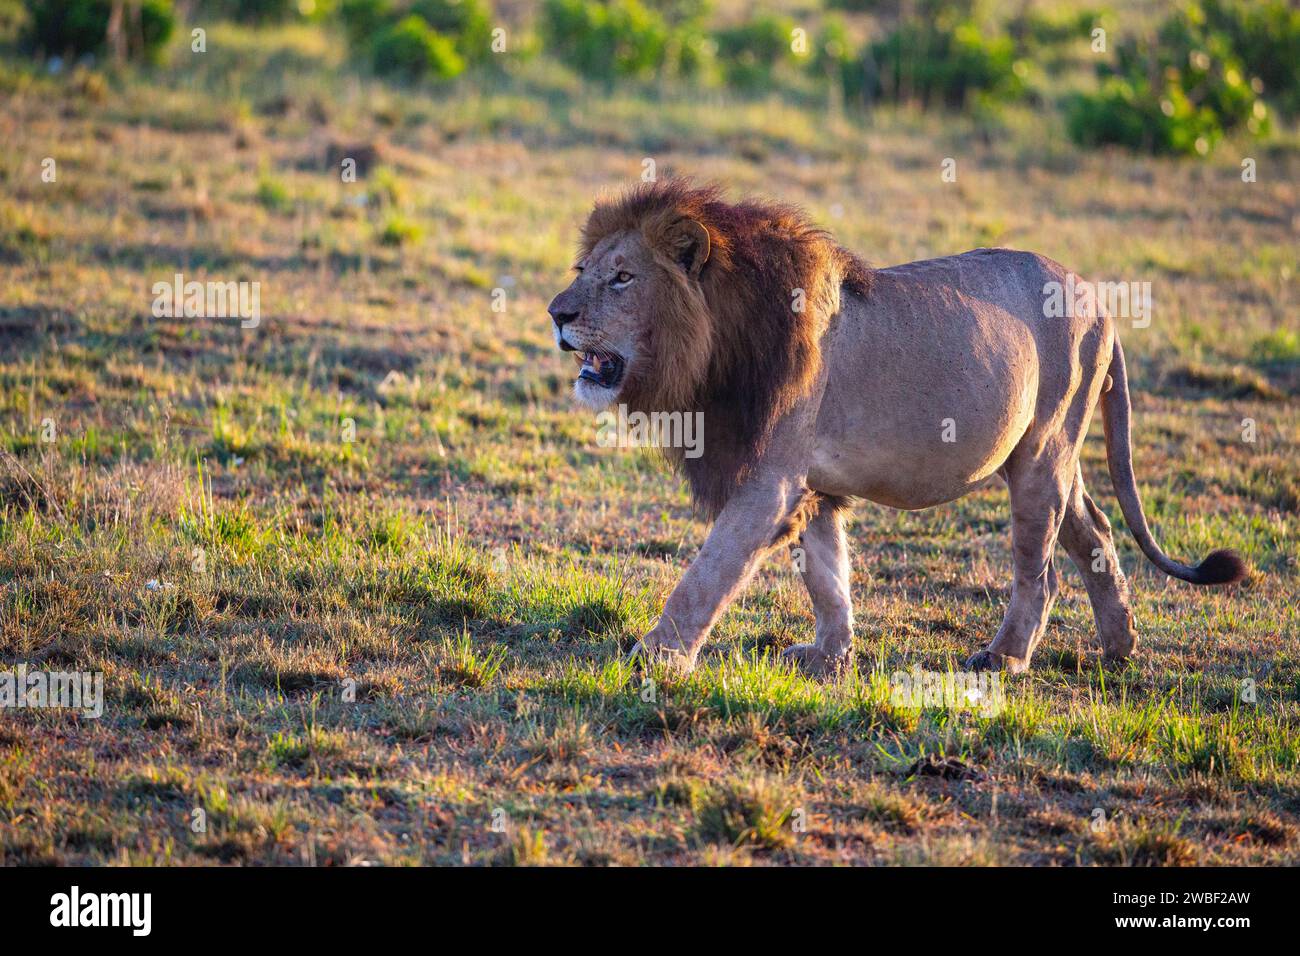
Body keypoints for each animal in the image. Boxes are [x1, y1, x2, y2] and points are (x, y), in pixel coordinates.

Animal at [547, 179, 1246, 676]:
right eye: (583, 270)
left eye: (622, 277)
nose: (556, 313)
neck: (715, 343)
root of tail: (1101, 302)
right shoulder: (811, 483)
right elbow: (827, 573)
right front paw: (829, 655)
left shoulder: (768, 478)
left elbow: (709, 572)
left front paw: (656, 655)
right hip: (1049, 457)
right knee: (1095, 531)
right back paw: (1121, 648)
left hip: (1044, 453)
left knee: (1041, 571)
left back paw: (1005, 658)